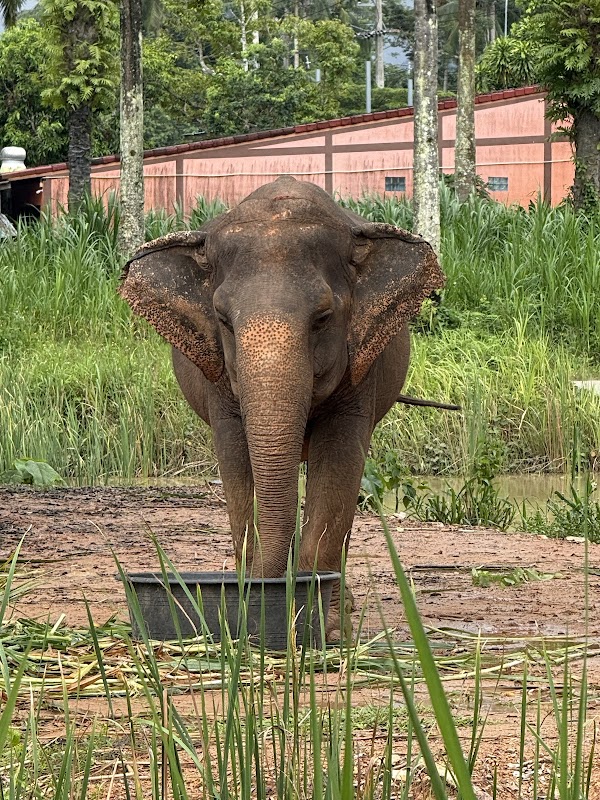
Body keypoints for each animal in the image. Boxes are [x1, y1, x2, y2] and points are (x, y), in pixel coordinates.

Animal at [119, 175, 445, 639]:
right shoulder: (219, 385)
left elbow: (338, 469)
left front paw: (325, 629)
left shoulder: (362, 374)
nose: (263, 588)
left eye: (323, 318)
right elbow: (238, 468)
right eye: (223, 320)